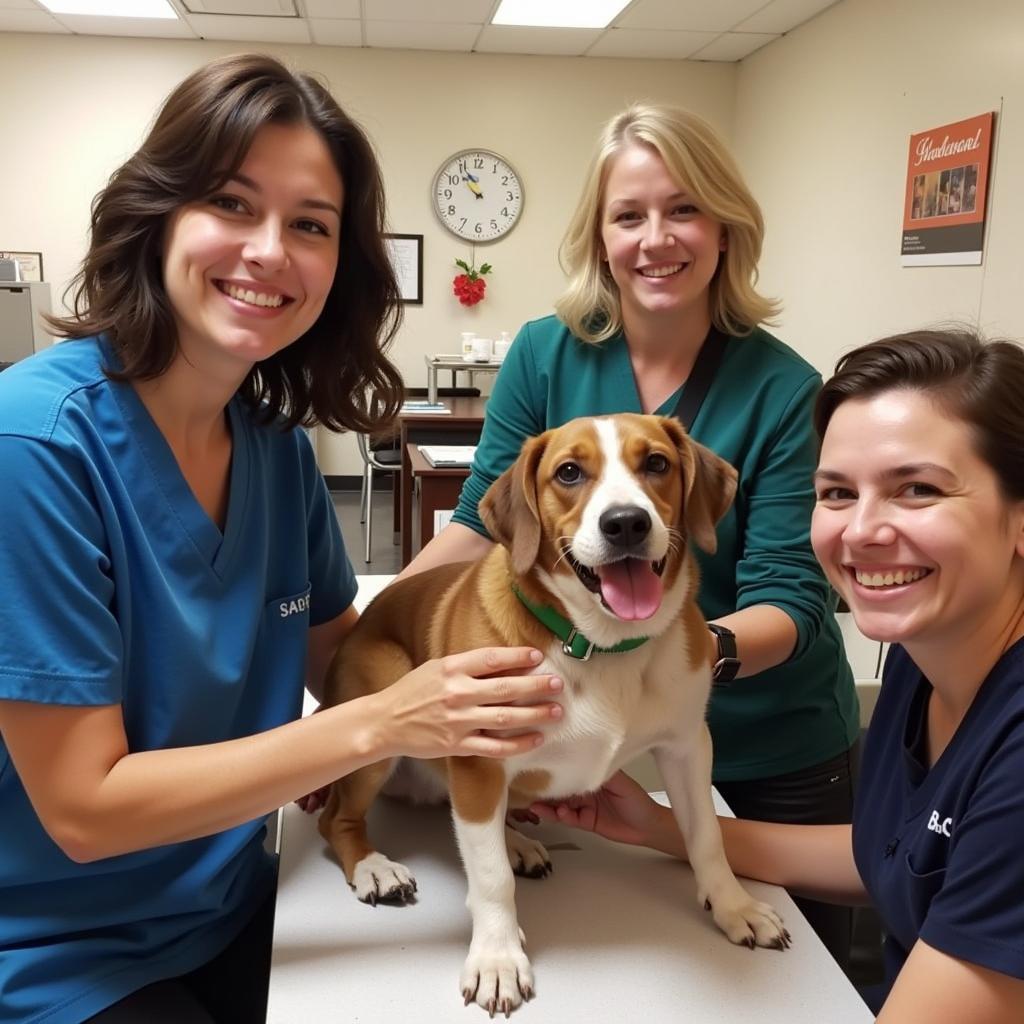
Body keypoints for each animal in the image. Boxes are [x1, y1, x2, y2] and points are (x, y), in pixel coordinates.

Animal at [317, 411, 782, 1011]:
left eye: (656, 463)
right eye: (568, 472)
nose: (626, 523)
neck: (601, 645)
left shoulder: (687, 748)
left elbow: (707, 836)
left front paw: (733, 906)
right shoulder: (478, 763)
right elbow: (490, 878)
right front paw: (497, 956)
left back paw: (515, 840)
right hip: (386, 709)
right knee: (338, 819)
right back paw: (374, 867)